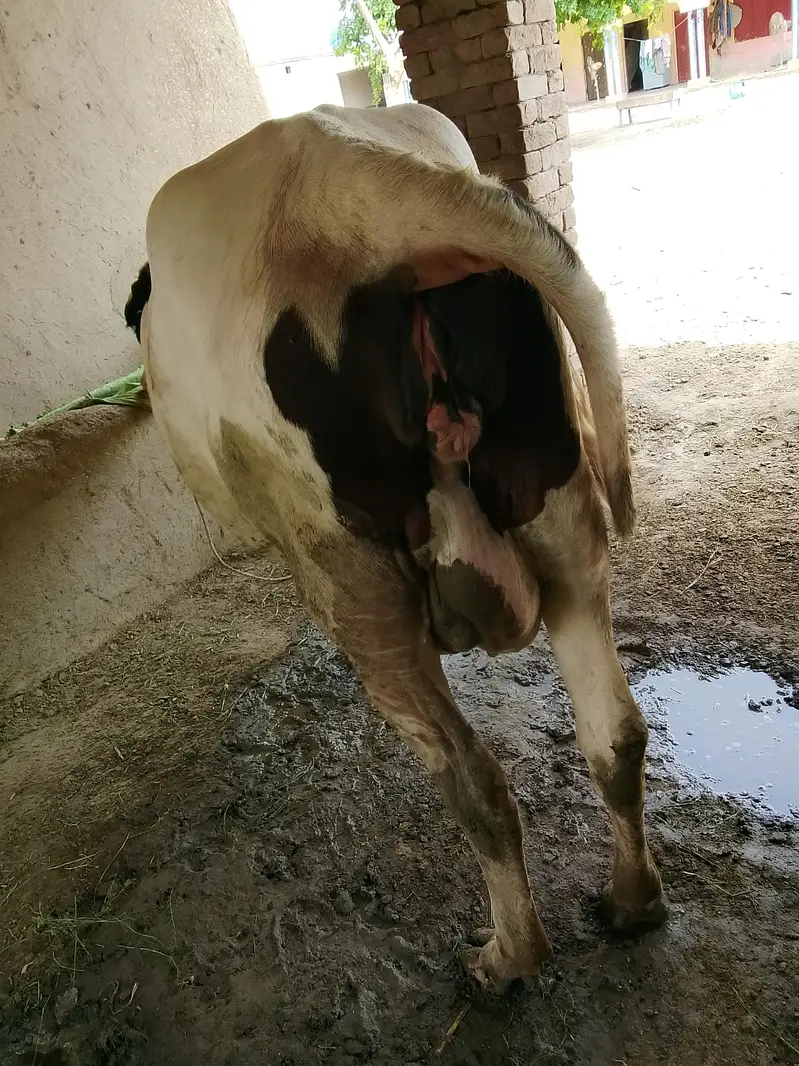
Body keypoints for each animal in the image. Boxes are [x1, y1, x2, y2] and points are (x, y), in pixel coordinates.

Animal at [125, 102, 667, 992]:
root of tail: (352, 187)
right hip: (558, 508)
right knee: (612, 732)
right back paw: (632, 901)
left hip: (349, 575)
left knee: (475, 783)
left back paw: (506, 958)